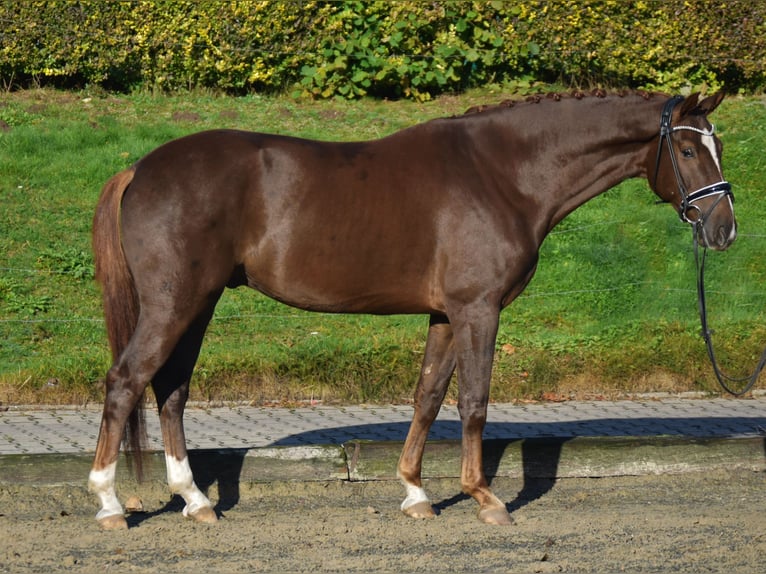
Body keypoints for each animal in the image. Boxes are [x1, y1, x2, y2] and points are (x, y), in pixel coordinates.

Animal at [88, 91, 736, 532]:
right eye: (685, 148)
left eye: (719, 145)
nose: (724, 230)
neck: (501, 174)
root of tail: (140, 169)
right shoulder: (478, 310)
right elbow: (473, 402)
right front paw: (485, 499)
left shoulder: (446, 316)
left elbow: (427, 396)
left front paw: (416, 494)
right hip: (175, 304)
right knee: (126, 381)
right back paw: (110, 504)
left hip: (198, 304)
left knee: (170, 389)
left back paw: (195, 501)